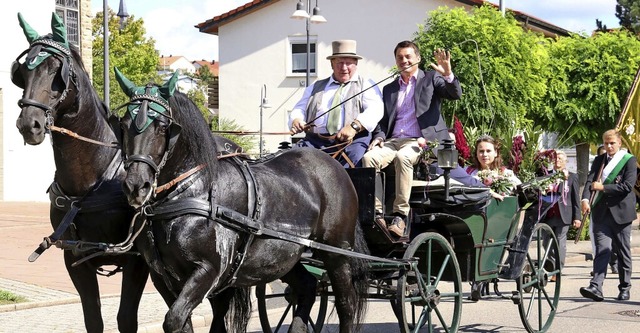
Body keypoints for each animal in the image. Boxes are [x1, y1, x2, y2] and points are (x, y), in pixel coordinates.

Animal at [12, 13, 149, 332]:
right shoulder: (74, 257)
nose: (29, 124)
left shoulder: (137, 260)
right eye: (22, 72)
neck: (91, 183)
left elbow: (126, 319)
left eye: (56, 71)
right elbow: (93, 319)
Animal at [112, 68, 368, 330]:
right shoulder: (161, 276)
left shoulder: (209, 270)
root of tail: (333, 163)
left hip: (337, 253)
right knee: (306, 287)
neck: (192, 191)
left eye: (163, 127)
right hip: (284, 255)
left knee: (346, 303)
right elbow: (184, 322)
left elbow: (174, 320)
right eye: (123, 124)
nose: (136, 185)